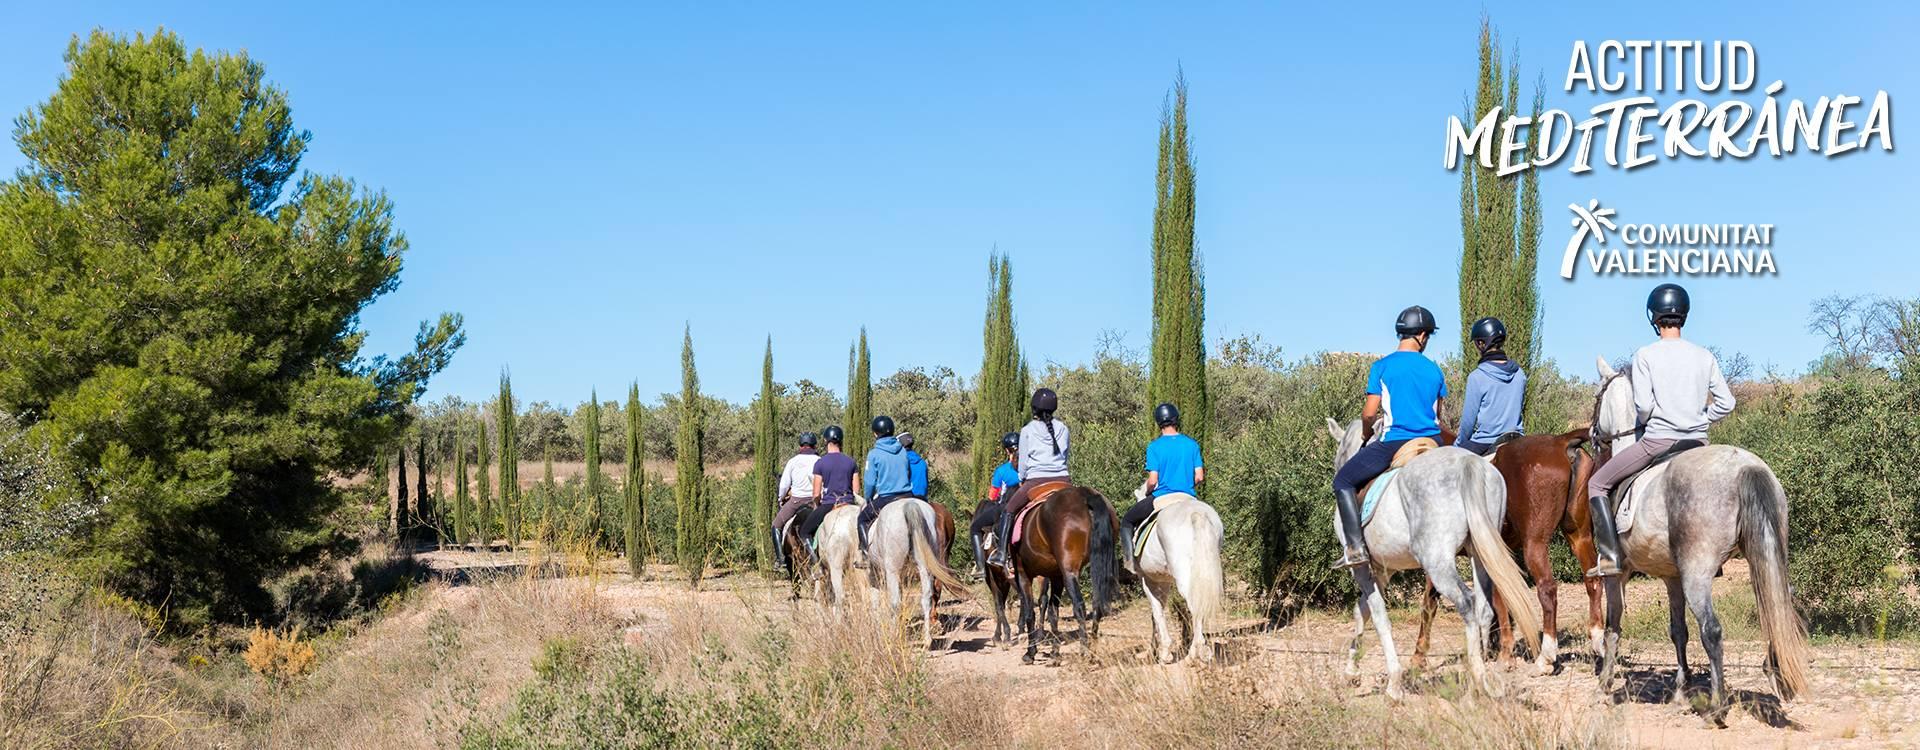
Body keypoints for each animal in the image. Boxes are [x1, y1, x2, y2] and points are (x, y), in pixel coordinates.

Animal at [998, 481, 1121, 663]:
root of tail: (1084, 494)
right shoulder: (1056, 576)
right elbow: (1052, 612)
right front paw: (1055, 652)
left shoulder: (1023, 575)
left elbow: (1030, 612)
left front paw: (1030, 652)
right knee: (1097, 604)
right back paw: (1092, 649)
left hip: (1069, 571)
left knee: (1079, 606)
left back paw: (1084, 650)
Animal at [1121, 491, 1228, 667]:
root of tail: (1196, 513)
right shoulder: (1164, 581)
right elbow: (1157, 612)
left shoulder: (1149, 581)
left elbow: (1156, 612)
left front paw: (1163, 652)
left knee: (1194, 606)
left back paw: (1193, 655)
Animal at [1320, 420, 1543, 702]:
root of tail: (1467, 464)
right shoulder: (1382, 571)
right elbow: (1362, 612)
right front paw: (1351, 671)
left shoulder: (1362, 568)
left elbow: (1379, 617)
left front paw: (1393, 685)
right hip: (1481, 554)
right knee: (1484, 609)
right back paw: (1479, 679)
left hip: (1438, 563)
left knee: (1467, 603)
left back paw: (1478, 680)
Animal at [1413, 431, 1605, 679]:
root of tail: (1561, 441)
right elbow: (1503, 599)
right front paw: (1501, 650)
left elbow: (1430, 603)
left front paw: (1418, 657)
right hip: (1579, 536)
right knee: (1593, 581)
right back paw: (1599, 641)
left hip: (1535, 543)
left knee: (1547, 589)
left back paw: (1545, 658)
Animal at [1582, 360, 1804, 728]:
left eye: (1597, 397)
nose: (1592, 437)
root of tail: (1744, 466)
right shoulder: (1672, 577)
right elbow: (1678, 631)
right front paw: (1679, 693)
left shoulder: (1618, 575)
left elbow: (1613, 626)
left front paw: (1603, 684)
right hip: (1767, 557)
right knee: (1777, 608)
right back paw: (1779, 676)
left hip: (1698, 573)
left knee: (1712, 630)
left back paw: (1717, 708)